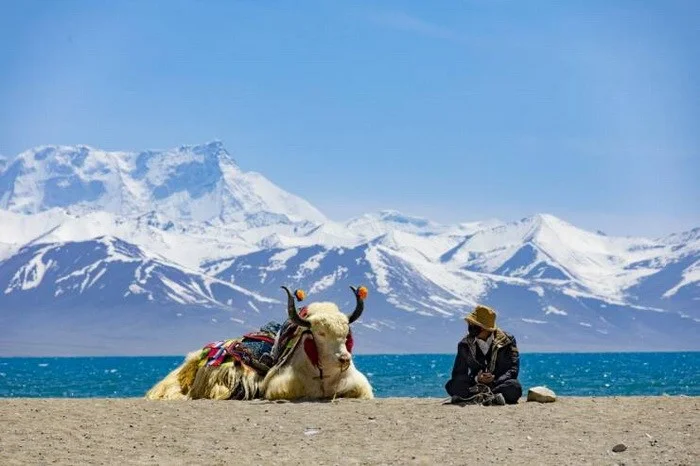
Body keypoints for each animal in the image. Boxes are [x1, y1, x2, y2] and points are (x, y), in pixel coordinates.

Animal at [145, 285, 374, 401]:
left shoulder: (358, 385)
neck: (323, 373)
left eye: (346, 334)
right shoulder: (278, 386)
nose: (344, 359)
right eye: (320, 333)